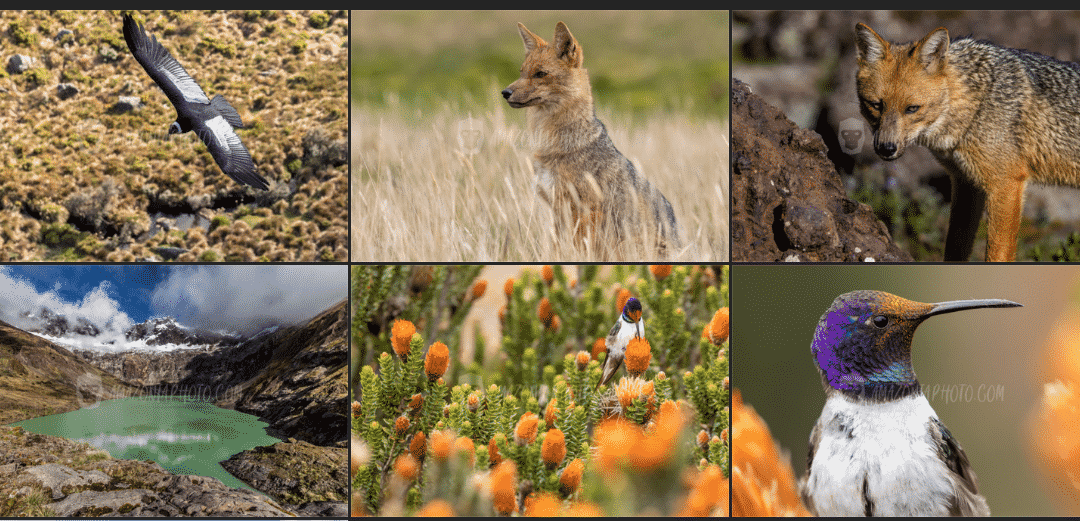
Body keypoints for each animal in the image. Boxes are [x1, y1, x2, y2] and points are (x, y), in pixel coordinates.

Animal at [503, 21, 673, 257]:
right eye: (522, 72)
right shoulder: (556, 209)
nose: (505, 92)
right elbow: (556, 248)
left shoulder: (583, 211)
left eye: (540, 74)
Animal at [855, 23, 1080, 260]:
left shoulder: (1005, 185)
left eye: (912, 108)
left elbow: (997, 255)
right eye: (876, 105)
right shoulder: (966, 184)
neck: (973, 104)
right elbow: (954, 248)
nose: (886, 148)